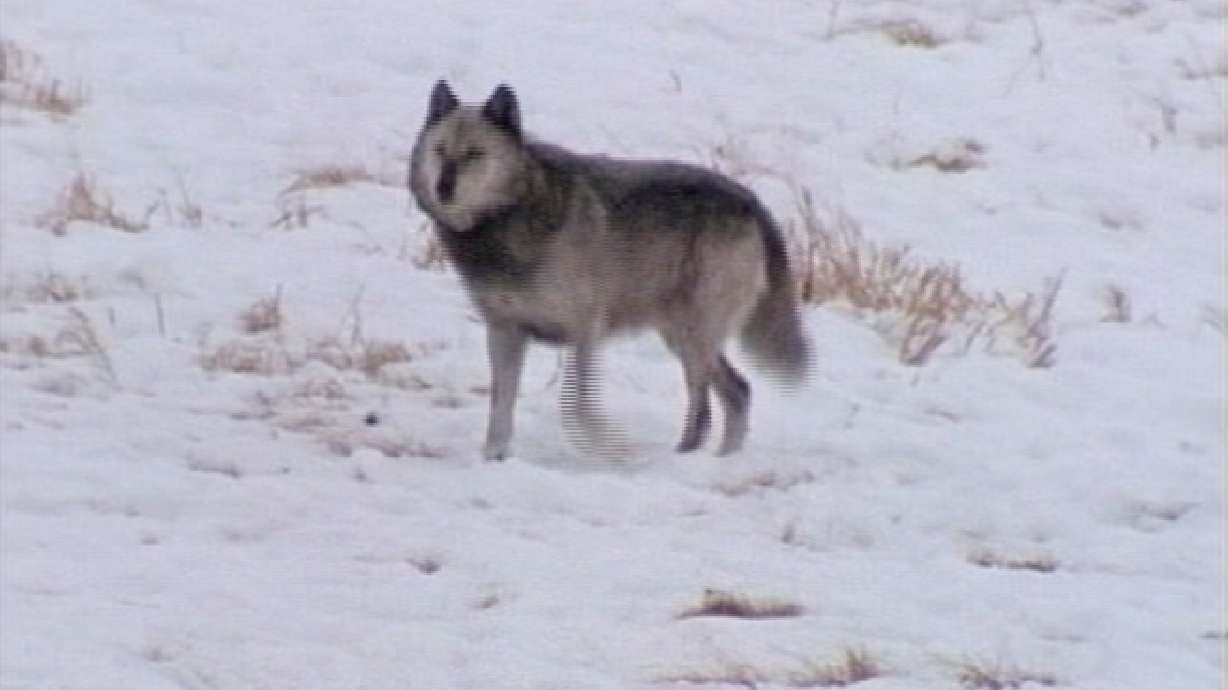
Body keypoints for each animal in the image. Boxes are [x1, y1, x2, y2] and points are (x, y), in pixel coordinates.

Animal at [409, 80, 811, 461]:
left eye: (475, 154)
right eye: (440, 150)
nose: (444, 188)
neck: (509, 221)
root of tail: (751, 201)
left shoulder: (585, 330)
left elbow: (579, 406)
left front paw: (607, 451)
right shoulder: (504, 331)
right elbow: (501, 407)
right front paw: (494, 457)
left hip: (693, 337)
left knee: (713, 402)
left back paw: (692, 457)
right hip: (679, 337)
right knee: (737, 392)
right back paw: (718, 459)